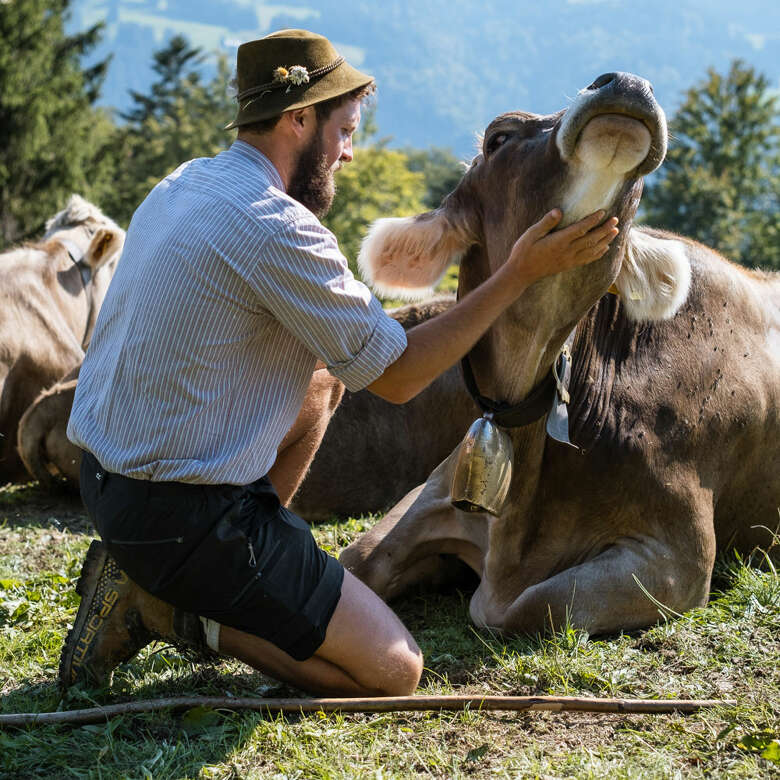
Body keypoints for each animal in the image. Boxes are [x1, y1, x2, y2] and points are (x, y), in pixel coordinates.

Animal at [338, 70, 776, 636]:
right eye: (498, 137)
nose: (627, 81)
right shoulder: (431, 491)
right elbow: (357, 560)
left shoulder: (680, 556)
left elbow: (527, 606)